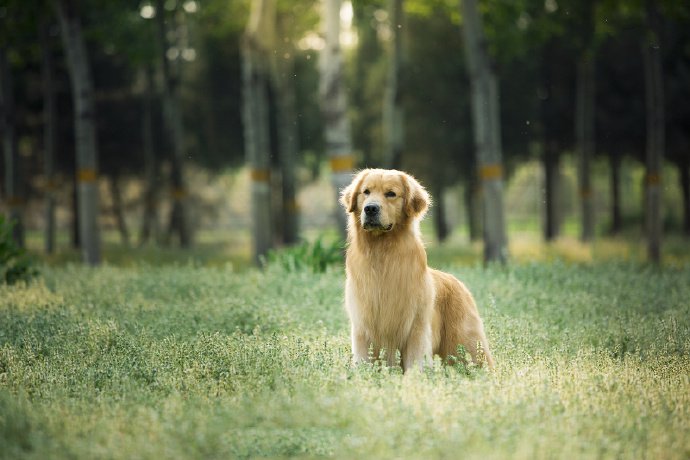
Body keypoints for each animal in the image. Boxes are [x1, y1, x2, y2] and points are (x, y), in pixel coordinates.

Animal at [338, 167, 490, 372]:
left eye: (391, 194)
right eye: (366, 192)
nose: (370, 208)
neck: (382, 254)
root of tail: (457, 281)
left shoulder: (415, 327)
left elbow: (415, 362)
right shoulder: (363, 328)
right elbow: (364, 360)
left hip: (466, 343)